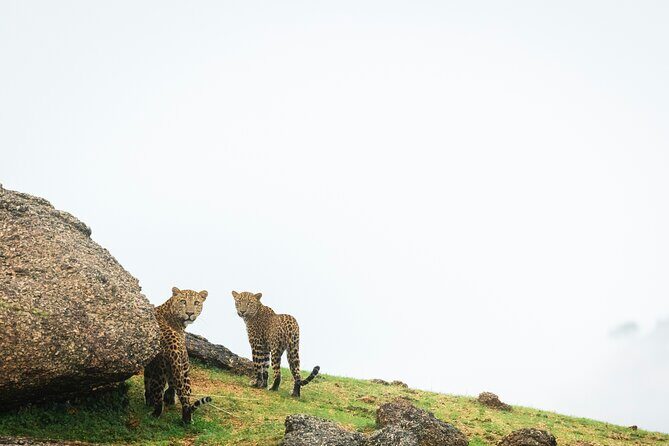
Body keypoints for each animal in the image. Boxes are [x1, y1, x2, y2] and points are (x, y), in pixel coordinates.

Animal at [144, 287, 211, 423]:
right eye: (183, 301)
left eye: (196, 302)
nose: (190, 313)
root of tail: (172, 345)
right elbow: (175, 385)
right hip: (184, 369)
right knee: (185, 396)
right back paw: (186, 419)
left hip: (160, 370)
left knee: (157, 393)